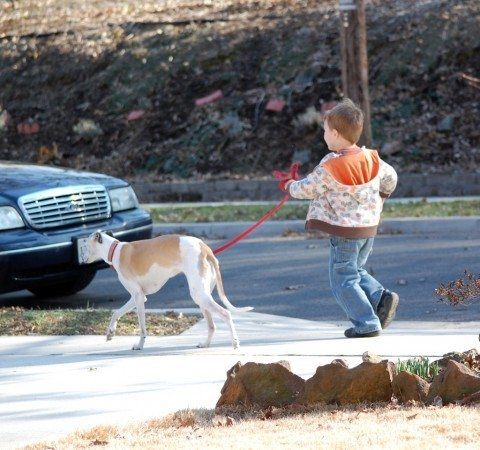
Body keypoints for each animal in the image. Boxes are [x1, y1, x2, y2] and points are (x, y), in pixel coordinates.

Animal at [84, 232, 253, 352]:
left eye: (85, 244)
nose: (83, 259)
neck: (115, 250)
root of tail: (205, 248)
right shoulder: (138, 297)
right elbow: (116, 313)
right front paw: (110, 333)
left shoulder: (138, 297)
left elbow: (142, 328)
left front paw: (139, 345)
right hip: (202, 296)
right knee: (212, 326)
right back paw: (205, 344)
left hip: (199, 295)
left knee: (226, 313)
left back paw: (235, 342)